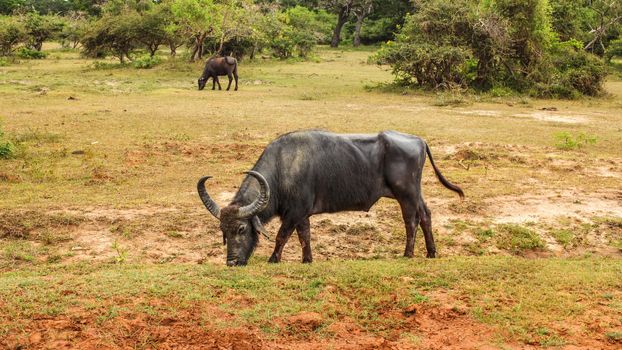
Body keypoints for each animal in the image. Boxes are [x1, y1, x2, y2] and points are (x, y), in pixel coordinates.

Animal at [197, 131, 466, 266]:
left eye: (242, 229)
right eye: (223, 231)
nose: (231, 262)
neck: (282, 169)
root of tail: (418, 140)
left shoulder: (294, 213)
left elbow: (282, 236)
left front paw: (274, 259)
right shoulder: (301, 215)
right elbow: (304, 236)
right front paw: (307, 260)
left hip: (405, 195)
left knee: (411, 221)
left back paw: (408, 254)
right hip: (415, 194)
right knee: (425, 215)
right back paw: (431, 252)